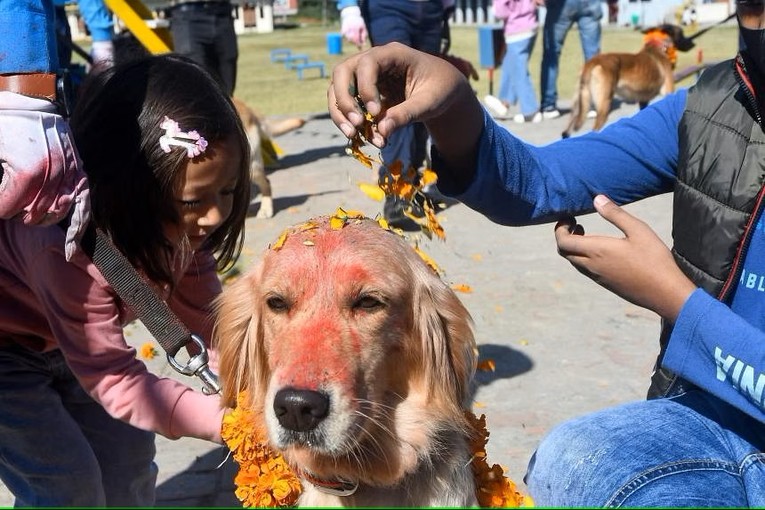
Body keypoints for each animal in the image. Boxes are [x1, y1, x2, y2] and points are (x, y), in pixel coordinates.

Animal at [560, 24, 696, 137]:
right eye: (681, 33)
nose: (693, 44)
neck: (658, 47)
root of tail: (592, 62)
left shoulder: (643, 100)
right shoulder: (668, 91)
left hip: (579, 105)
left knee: (565, 132)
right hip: (604, 105)